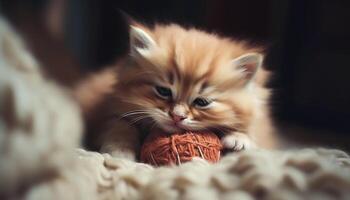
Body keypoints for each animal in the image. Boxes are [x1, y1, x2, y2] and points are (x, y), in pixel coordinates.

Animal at [78, 22, 278, 159]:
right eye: (163, 91)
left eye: (202, 102)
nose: (177, 117)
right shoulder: (112, 109)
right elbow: (120, 126)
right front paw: (120, 151)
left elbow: (252, 132)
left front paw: (239, 139)